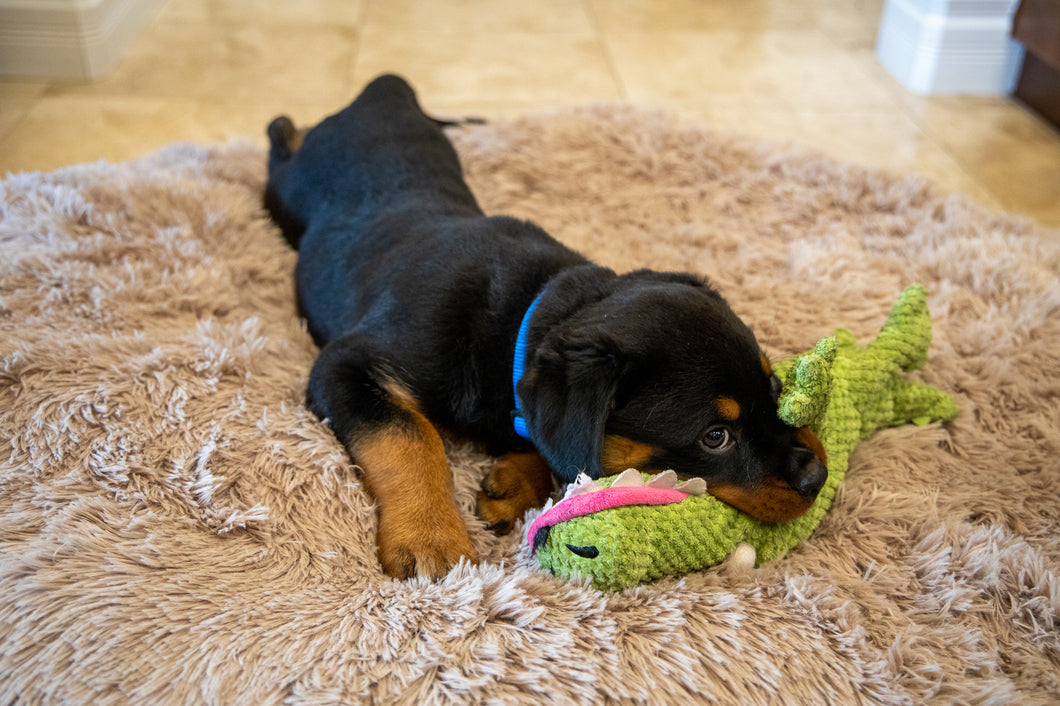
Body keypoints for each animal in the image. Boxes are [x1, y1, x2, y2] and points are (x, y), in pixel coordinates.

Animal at [265, 74, 826, 576]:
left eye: (774, 387)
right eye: (715, 437)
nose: (818, 474)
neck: (521, 316)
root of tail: (381, 90)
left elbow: (554, 439)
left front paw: (514, 481)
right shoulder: (346, 363)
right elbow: (406, 437)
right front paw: (430, 538)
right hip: (286, 192)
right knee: (280, 139)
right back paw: (284, 127)